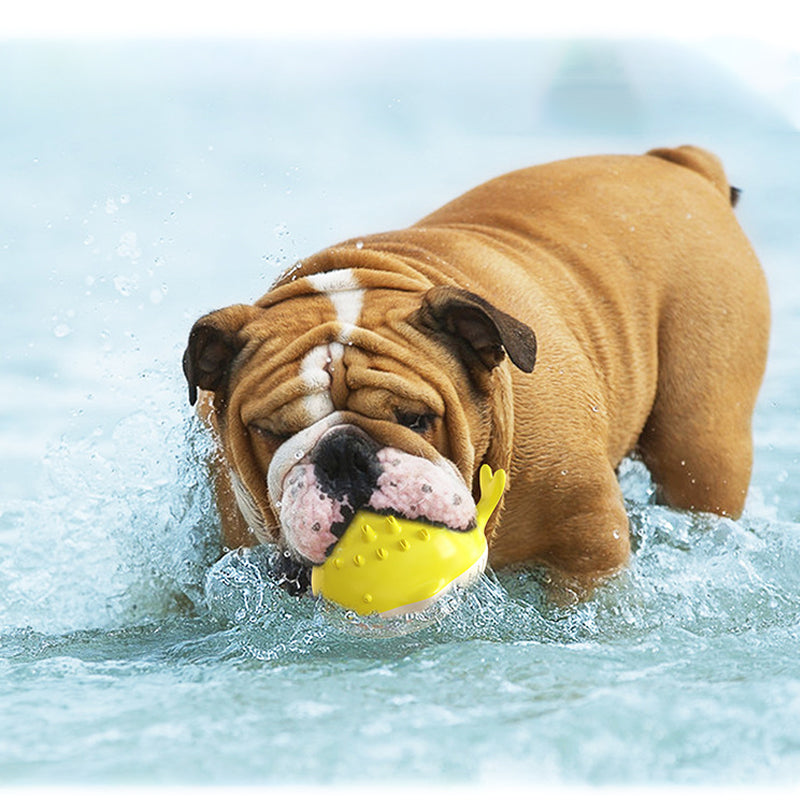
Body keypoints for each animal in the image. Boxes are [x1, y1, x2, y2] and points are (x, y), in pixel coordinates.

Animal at [181, 148, 768, 600]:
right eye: (271, 431)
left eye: (416, 418)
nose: (344, 454)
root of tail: (679, 165)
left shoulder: (588, 540)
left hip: (702, 438)